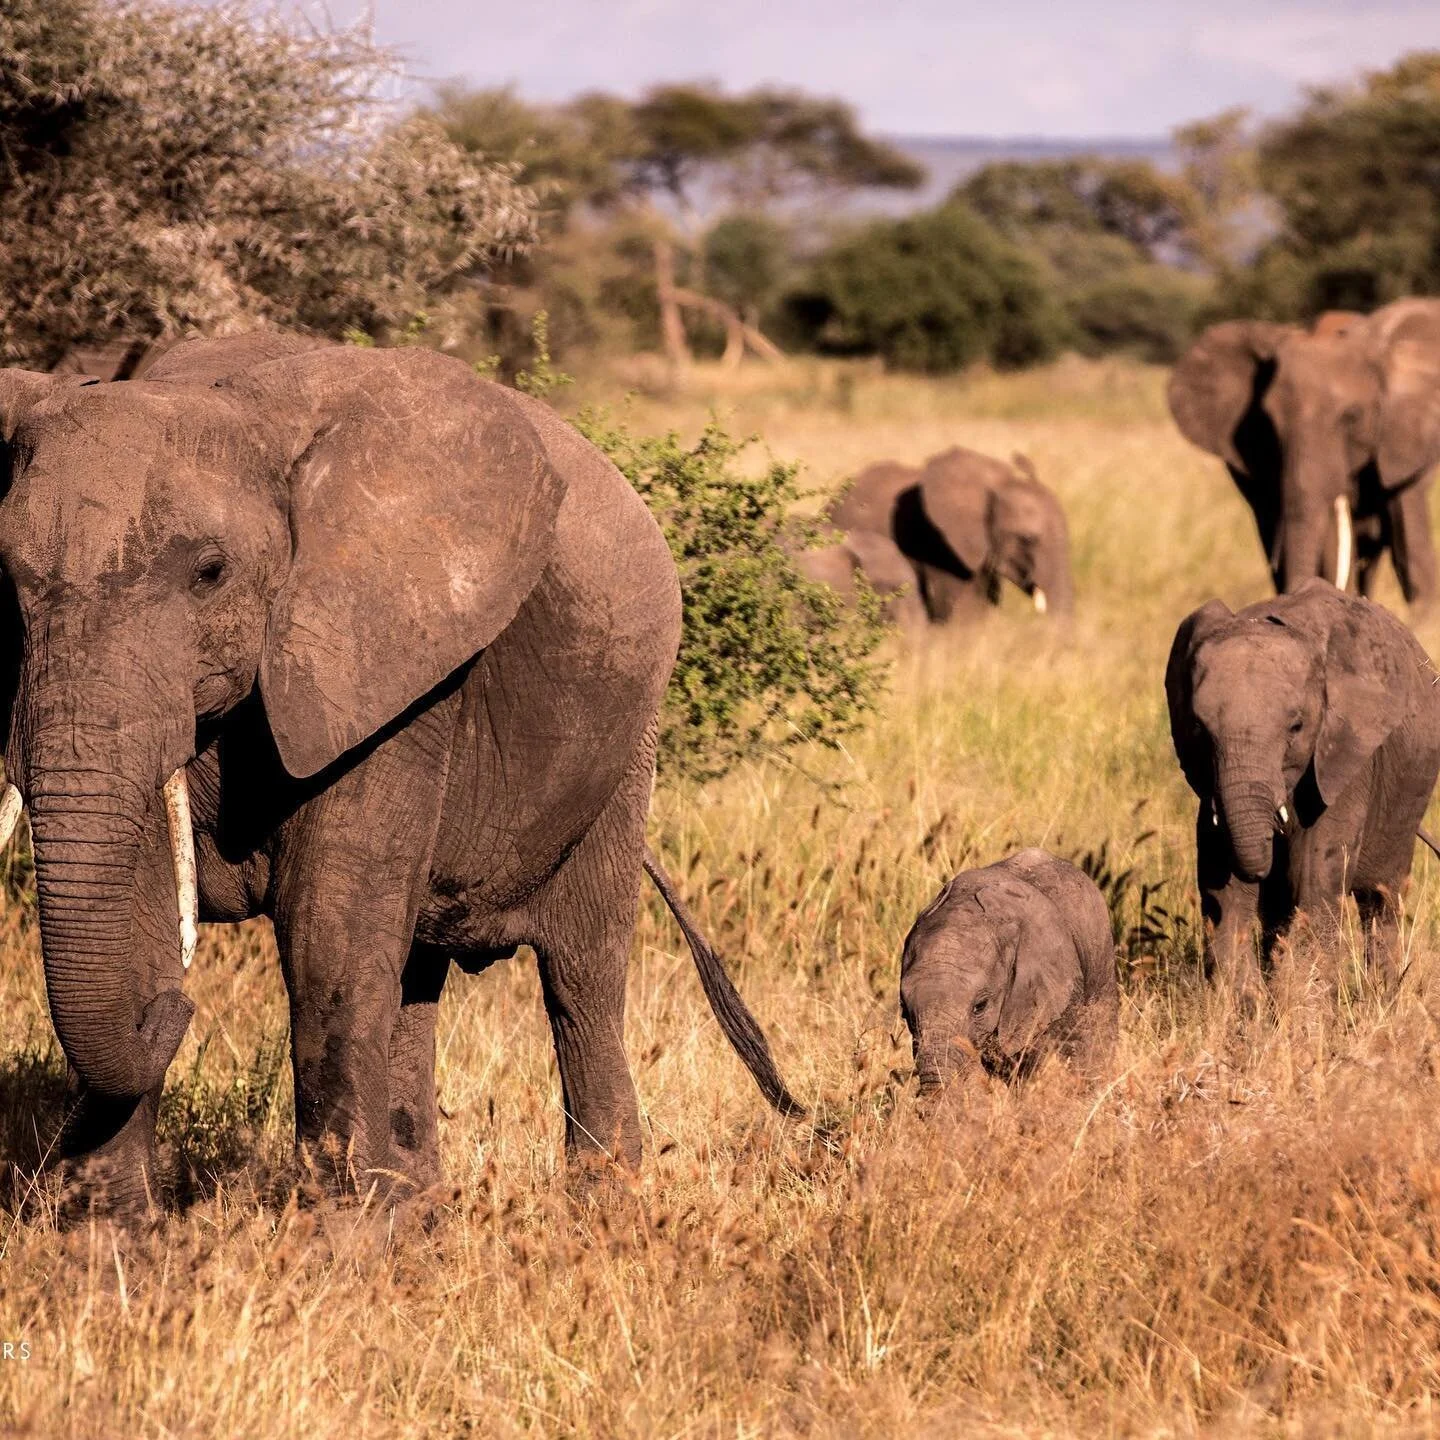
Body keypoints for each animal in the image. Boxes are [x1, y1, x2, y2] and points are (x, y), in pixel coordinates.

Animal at [0, 332, 801, 1215]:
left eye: (209, 572)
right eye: (5, 579)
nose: (173, 1010)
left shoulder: (392, 661)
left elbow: (332, 929)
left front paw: (341, 1236)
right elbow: (143, 909)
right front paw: (111, 1236)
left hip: (628, 738)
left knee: (582, 974)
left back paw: (604, 1213)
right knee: (416, 974)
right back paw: (420, 1215)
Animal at [1166, 580, 1440, 999]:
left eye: (1296, 727)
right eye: (1199, 728)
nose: (1265, 860)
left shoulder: (1344, 759)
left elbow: (1313, 884)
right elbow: (1224, 895)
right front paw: (1251, 1008)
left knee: (1381, 900)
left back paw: (1381, 999)